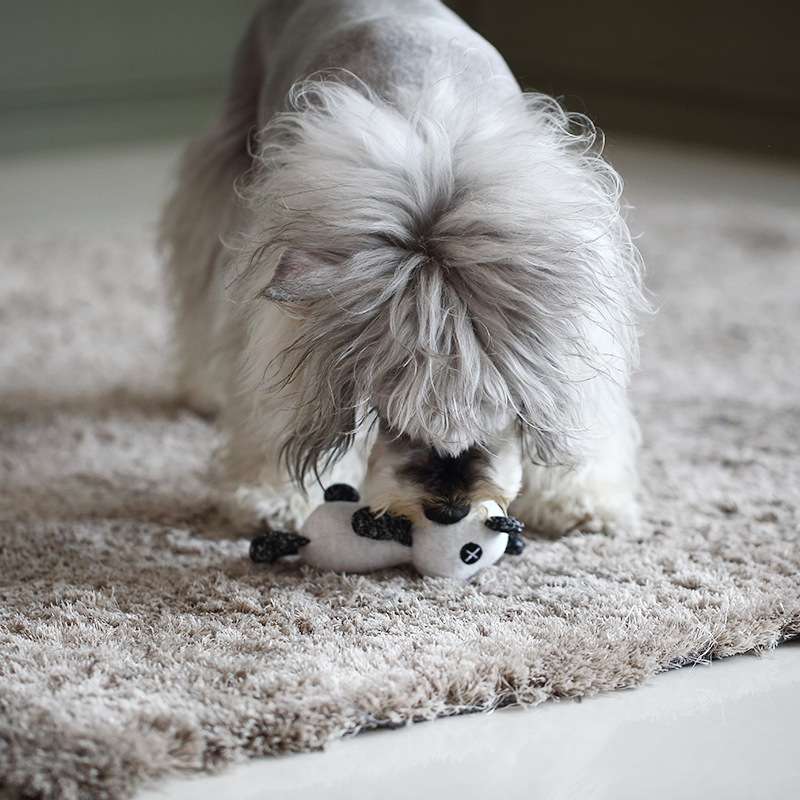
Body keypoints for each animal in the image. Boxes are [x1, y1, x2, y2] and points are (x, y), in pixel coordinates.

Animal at [159, 0, 648, 536]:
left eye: (501, 405)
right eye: (388, 407)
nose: (448, 511)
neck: (433, 133)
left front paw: (580, 499)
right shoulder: (286, 298)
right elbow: (276, 405)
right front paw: (274, 496)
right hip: (227, 166)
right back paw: (203, 389)